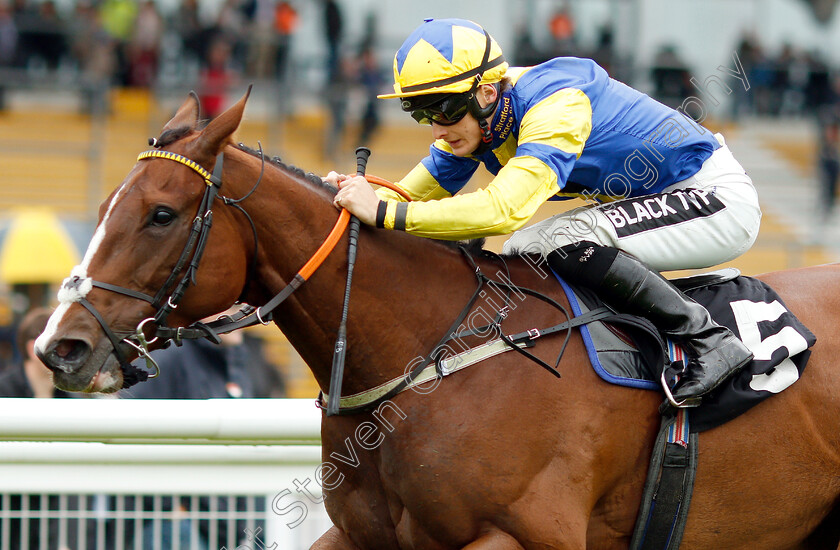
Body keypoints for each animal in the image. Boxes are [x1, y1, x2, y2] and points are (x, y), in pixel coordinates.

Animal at [36, 91, 840, 550]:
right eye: (104, 205)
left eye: (162, 214)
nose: (59, 346)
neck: (426, 359)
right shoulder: (363, 538)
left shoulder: (523, 536)